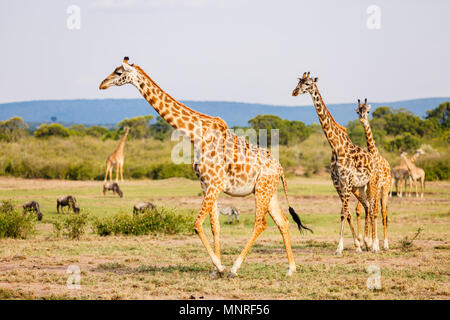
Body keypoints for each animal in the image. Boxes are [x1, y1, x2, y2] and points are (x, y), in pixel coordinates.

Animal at [99, 56, 312, 276]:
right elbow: (214, 226)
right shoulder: (205, 185)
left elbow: (197, 223)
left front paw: (220, 266)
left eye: (118, 72)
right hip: (268, 191)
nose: (102, 84)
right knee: (283, 222)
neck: (197, 135)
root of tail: (281, 169)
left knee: (260, 224)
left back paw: (235, 268)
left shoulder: (214, 184)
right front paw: (215, 270)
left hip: (262, 190)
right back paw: (291, 269)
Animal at [292, 73, 380, 255]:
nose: (294, 92)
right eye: (298, 82)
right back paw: (368, 243)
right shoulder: (337, 183)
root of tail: (374, 158)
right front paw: (357, 245)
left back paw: (375, 245)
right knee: (367, 206)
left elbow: (343, 213)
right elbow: (347, 213)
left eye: (308, 84)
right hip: (360, 187)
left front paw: (339, 247)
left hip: (372, 183)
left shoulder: (346, 182)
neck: (335, 146)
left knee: (373, 209)